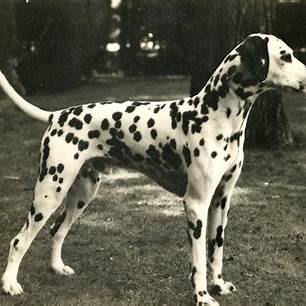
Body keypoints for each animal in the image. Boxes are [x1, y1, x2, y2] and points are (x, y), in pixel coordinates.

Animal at [0, 34, 306, 304]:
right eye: (286, 55)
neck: (214, 114)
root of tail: (57, 115)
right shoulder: (196, 204)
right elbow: (198, 260)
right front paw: (202, 297)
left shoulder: (221, 200)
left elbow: (216, 250)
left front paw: (218, 285)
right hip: (50, 191)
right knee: (19, 240)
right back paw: (10, 284)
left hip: (81, 193)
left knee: (57, 230)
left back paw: (57, 268)